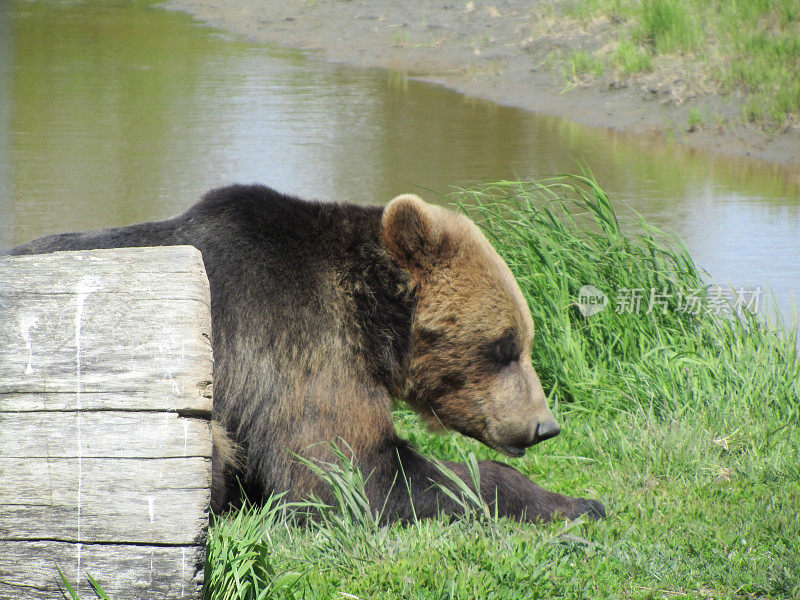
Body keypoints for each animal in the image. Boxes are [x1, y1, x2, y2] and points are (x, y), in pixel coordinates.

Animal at [9, 185, 604, 524]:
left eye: (525, 340)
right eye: (504, 346)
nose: (543, 425)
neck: (370, 322)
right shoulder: (294, 341)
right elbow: (349, 473)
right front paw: (574, 504)